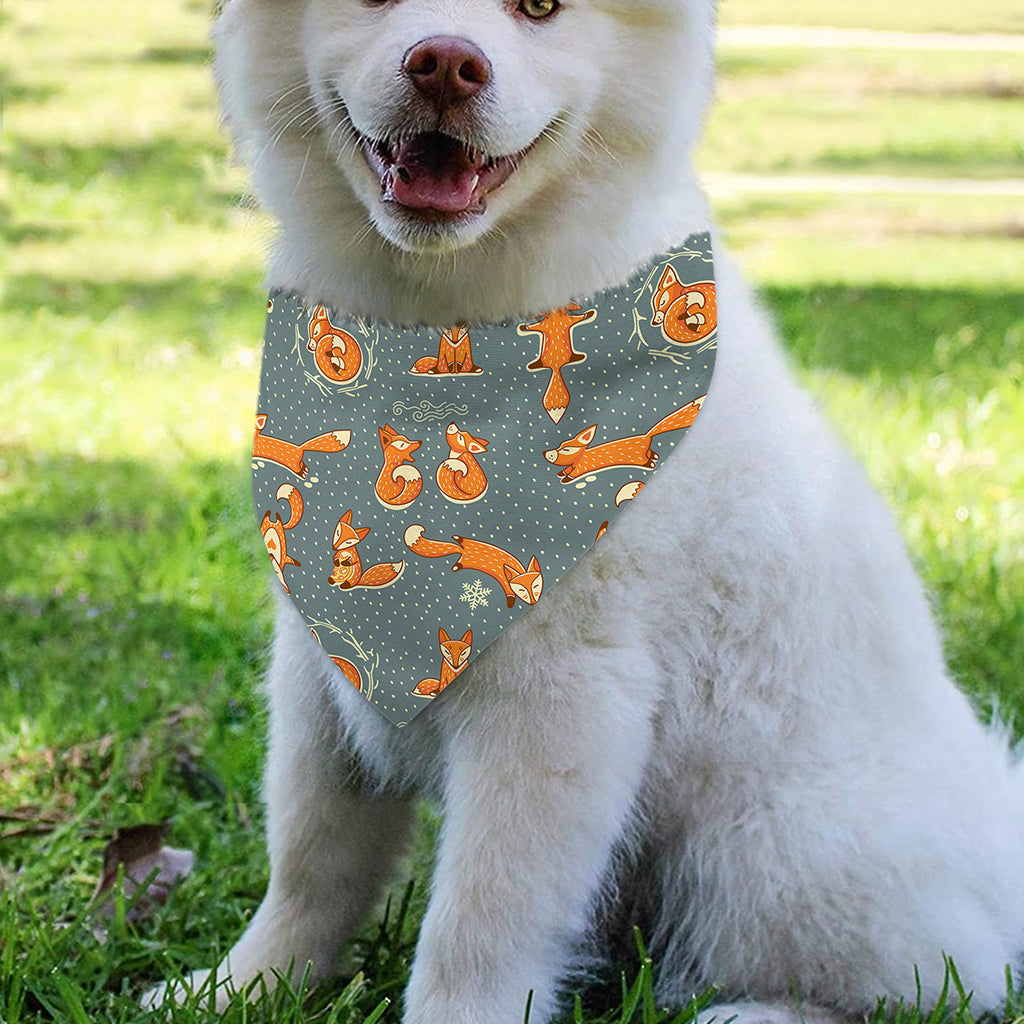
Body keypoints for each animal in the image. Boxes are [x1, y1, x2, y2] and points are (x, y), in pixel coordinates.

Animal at [404, 524, 543, 608]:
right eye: (521, 590)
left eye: (536, 586)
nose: (533, 601)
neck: (520, 570)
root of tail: (462, 550)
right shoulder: (507, 585)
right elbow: (510, 597)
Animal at [543, 397, 706, 482]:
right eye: (559, 445)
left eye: (567, 449)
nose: (547, 454)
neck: (579, 458)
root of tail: (646, 435)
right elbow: (565, 470)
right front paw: (561, 473)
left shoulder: (580, 468)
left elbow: (571, 475)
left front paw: (565, 478)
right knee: (651, 453)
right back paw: (654, 456)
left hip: (638, 458)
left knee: (647, 461)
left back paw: (651, 463)